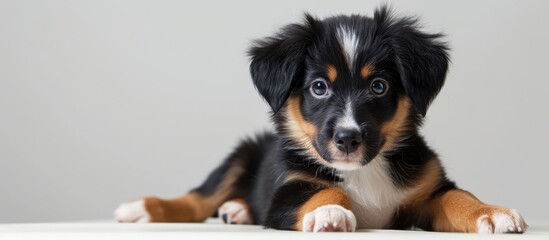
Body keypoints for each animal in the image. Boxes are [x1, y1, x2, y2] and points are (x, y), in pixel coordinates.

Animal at [112, 6, 528, 233]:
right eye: (318, 87)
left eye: (378, 86)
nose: (347, 140)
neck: (365, 171)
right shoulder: (286, 192)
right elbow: (325, 189)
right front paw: (331, 212)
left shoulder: (428, 191)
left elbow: (460, 196)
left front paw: (492, 213)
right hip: (242, 155)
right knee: (198, 198)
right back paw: (143, 209)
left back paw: (238, 210)